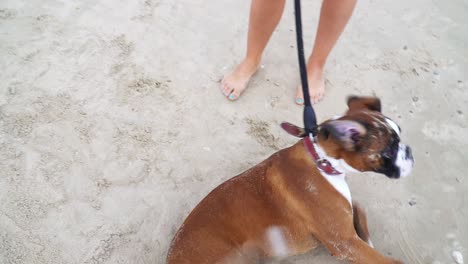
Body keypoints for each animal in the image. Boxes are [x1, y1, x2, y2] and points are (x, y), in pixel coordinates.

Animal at [165, 96, 414, 262]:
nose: (410, 151)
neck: (321, 161)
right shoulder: (345, 243)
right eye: (389, 151)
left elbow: (359, 210)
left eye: (399, 135)